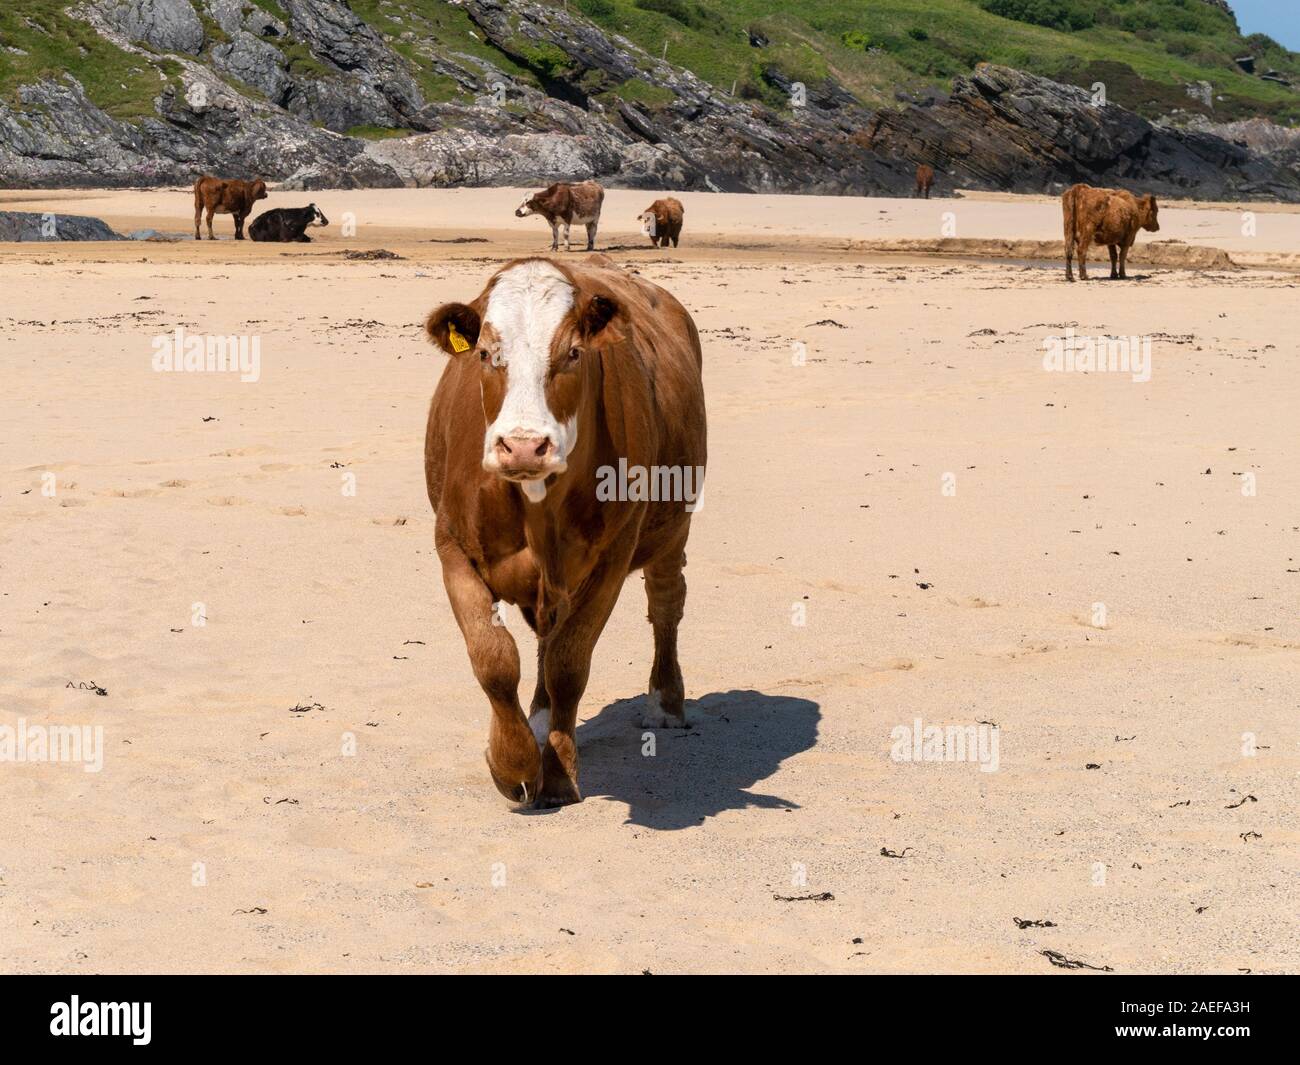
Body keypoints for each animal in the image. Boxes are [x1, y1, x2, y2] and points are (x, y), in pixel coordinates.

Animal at [423, 256, 712, 806]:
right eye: (487, 354)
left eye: (573, 353)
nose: (523, 446)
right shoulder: (452, 546)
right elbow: (494, 658)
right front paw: (514, 762)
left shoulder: (612, 558)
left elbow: (569, 662)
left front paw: (557, 772)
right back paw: (536, 717)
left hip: (674, 527)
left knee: (666, 604)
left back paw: (665, 702)